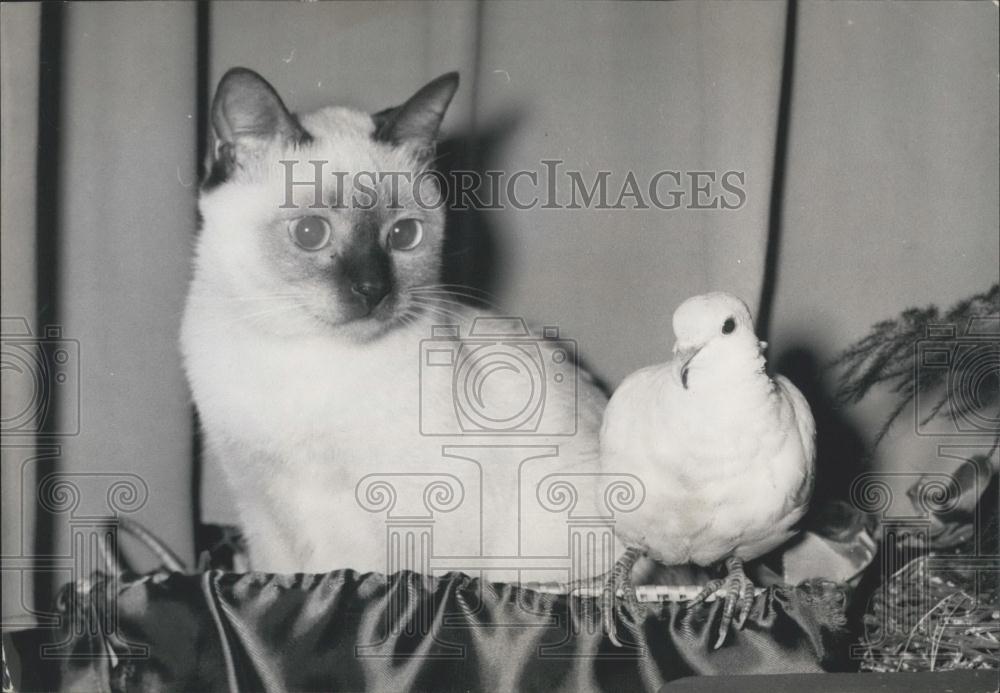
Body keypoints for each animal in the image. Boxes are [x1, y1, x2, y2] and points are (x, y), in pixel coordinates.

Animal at [184, 67, 612, 580]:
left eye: (404, 235)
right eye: (310, 233)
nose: (373, 289)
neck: (306, 359)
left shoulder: (425, 509)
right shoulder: (262, 510)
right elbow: (284, 575)